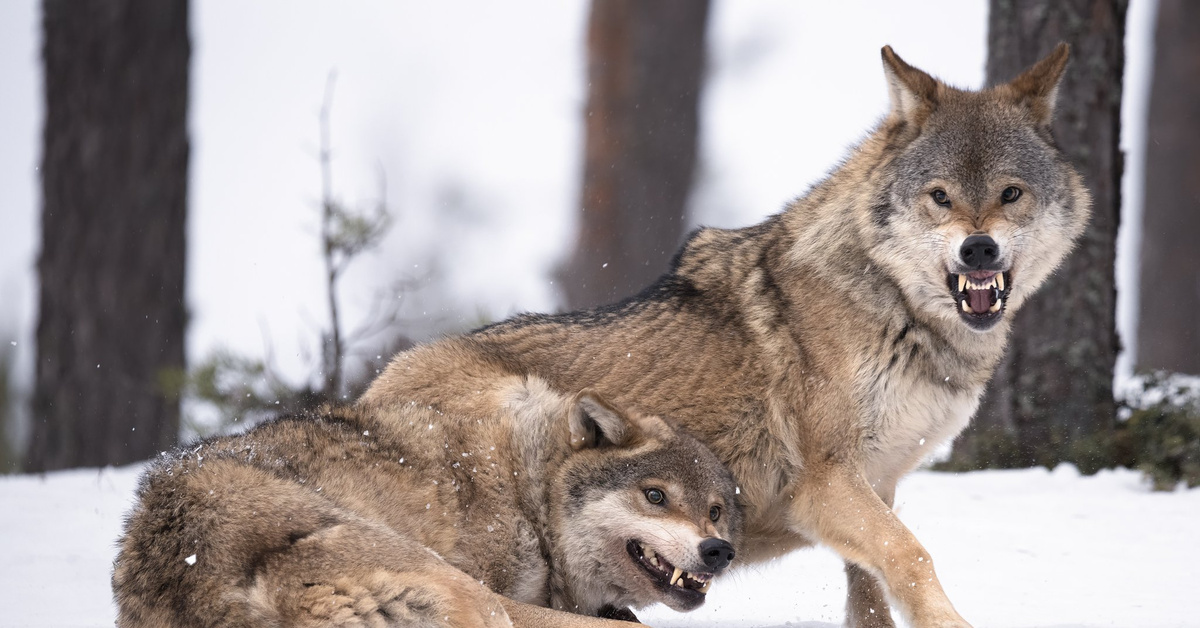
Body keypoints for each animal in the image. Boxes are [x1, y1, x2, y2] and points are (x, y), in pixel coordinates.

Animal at [362, 45, 1089, 628]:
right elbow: (910, 556)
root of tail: (369, 393)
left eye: (1011, 193)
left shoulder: (879, 481)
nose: (978, 250)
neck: (894, 310)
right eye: (940, 196)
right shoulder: (827, 484)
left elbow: (871, 589)